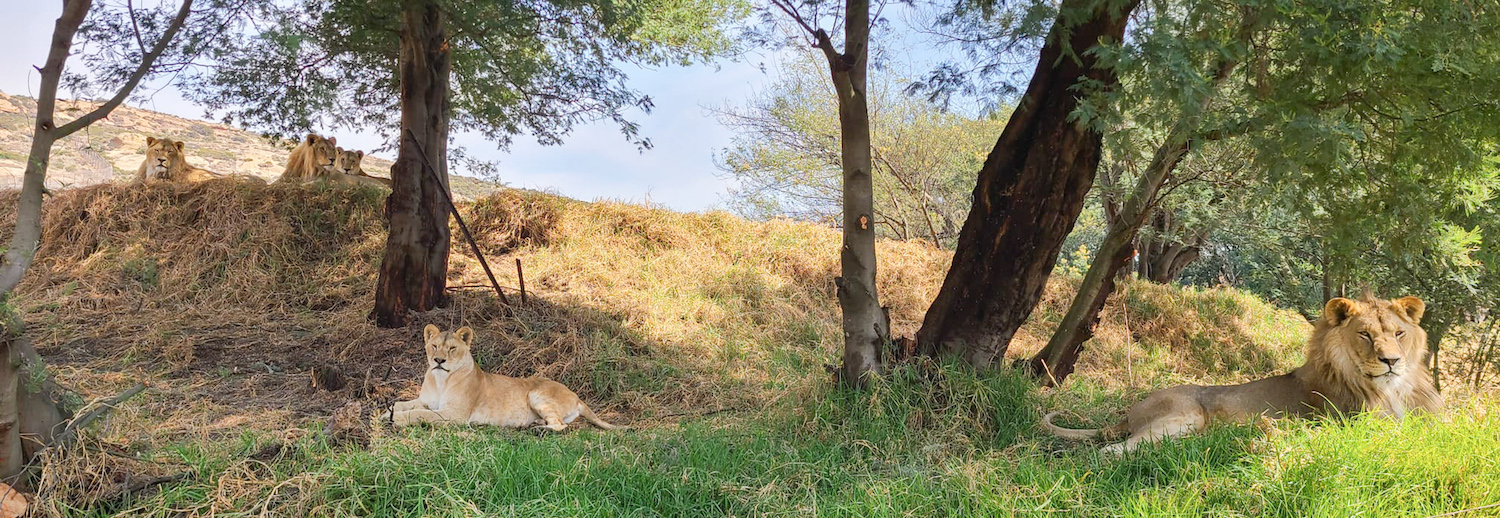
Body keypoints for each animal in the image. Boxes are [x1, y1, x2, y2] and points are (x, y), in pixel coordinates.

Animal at [382, 325, 626, 431]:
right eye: (434, 346)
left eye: (452, 348)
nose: (439, 360)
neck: (441, 380)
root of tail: (576, 396)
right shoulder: (426, 400)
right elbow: (403, 403)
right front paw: (387, 413)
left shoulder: (454, 415)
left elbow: (420, 414)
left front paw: (398, 419)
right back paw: (536, 423)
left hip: (536, 394)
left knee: (560, 426)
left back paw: (538, 429)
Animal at [1043, 294, 1441, 454]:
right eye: (1365, 335)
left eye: (1399, 333)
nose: (1391, 361)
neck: (1393, 390)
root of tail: (1130, 412)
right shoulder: (1361, 425)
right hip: (1183, 415)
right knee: (1111, 451)